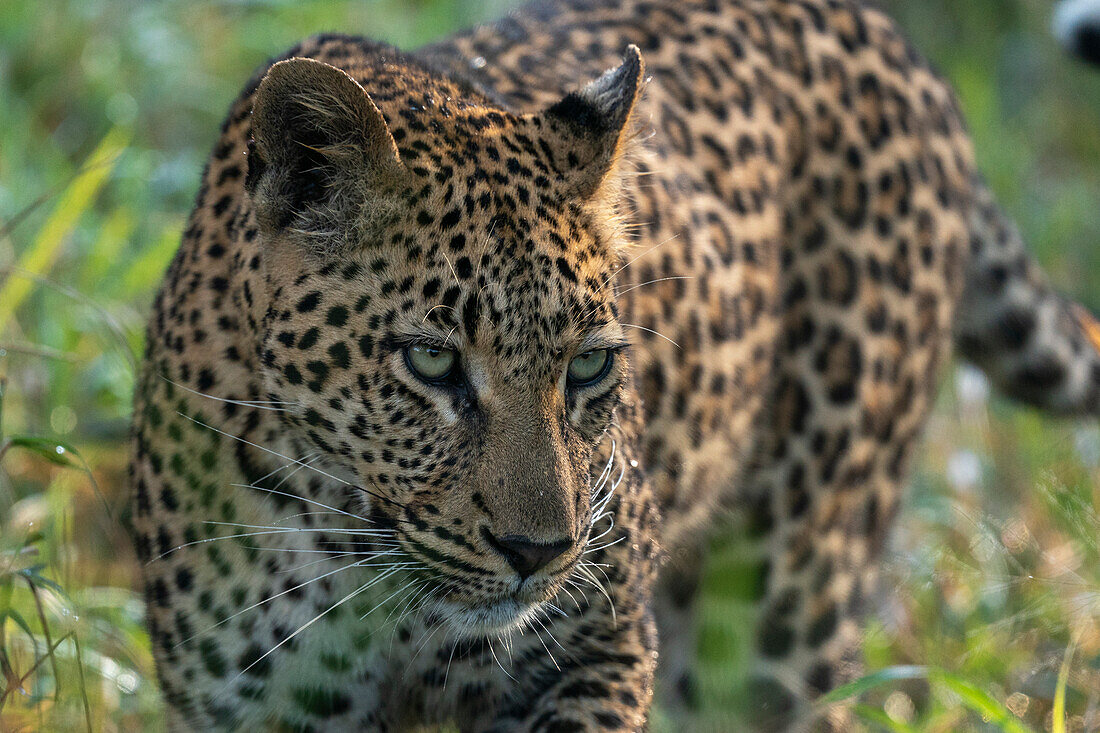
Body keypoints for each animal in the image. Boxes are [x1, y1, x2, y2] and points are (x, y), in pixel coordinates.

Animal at [130, 0, 1100, 726]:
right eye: (433, 362)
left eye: (589, 367)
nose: (537, 552)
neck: (357, 556)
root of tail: (894, 40)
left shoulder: (604, 640)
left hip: (781, 601)